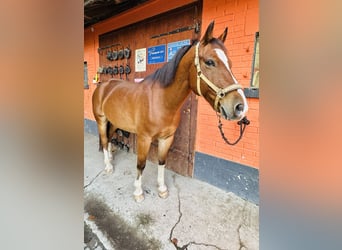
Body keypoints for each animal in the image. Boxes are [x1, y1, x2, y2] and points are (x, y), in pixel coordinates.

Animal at [92, 21, 250, 201]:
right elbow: (141, 164)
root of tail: (104, 86)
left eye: (230, 63)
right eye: (210, 62)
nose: (240, 106)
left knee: (109, 138)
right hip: (101, 120)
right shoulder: (144, 138)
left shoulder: (167, 138)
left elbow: (162, 162)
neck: (161, 101)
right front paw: (138, 192)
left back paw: (111, 158)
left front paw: (162, 189)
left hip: (114, 122)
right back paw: (108, 166)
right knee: (104, 140)